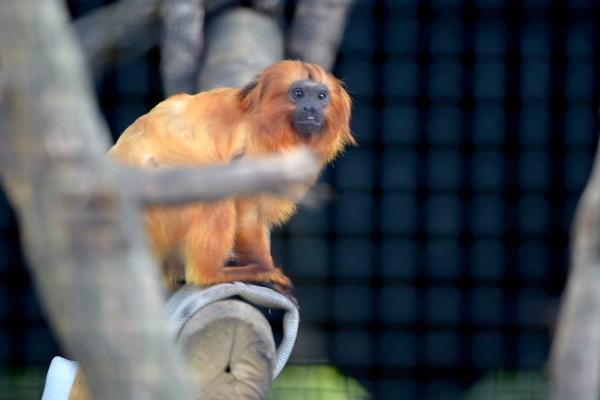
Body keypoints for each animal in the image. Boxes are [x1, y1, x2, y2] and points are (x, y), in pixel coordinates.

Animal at [109, 60, 355, 292]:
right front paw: (264, 269)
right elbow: (247, 214)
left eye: (321, 96)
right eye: (298, 94)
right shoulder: (254, 151)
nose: (311, 108)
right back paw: (213, 273)